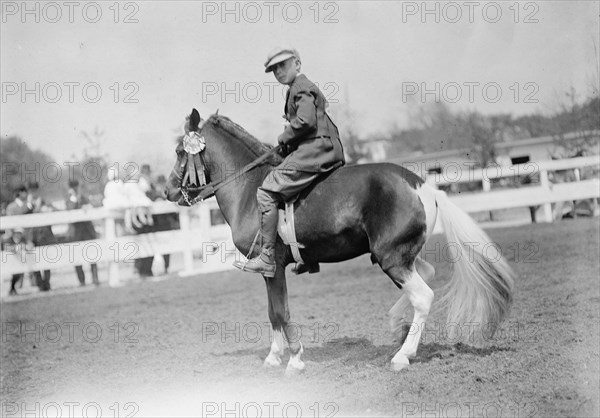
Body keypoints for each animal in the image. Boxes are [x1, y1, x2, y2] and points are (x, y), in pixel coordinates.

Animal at [165, 112, 516, 376]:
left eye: (181, 152)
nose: (167, 192)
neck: (251, 189)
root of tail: (422, 185)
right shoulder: (269, 272)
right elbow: (271, 312)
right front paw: (274, 356)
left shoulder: (272, 266)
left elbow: (280, 311)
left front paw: (294, 358)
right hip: (402, 256)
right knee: (425, 277)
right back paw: (396, 325)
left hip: (391, 258)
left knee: (423, 296)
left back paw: (403, 355)